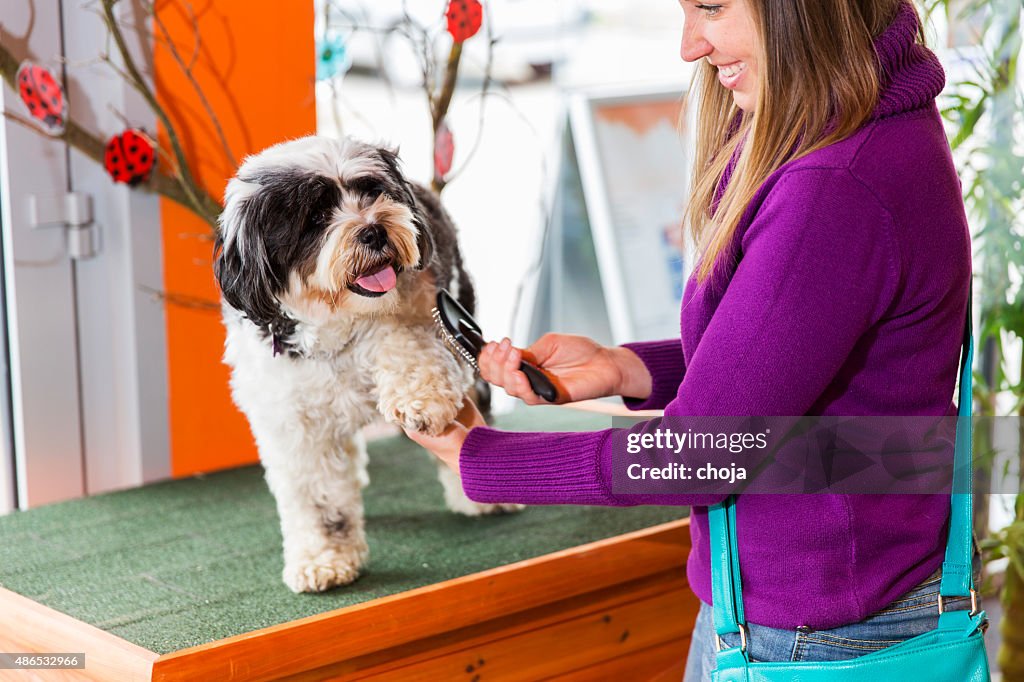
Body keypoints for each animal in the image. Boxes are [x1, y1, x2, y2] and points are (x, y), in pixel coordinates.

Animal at [212, 133, 516, 589]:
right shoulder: (292, 423)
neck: (336, 325)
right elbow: (318, 497)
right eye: (316, 216)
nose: (374, 230)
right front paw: (325, 558)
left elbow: (406, 344)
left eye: (373, 192)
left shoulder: (426, 314)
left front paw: (418, 398)